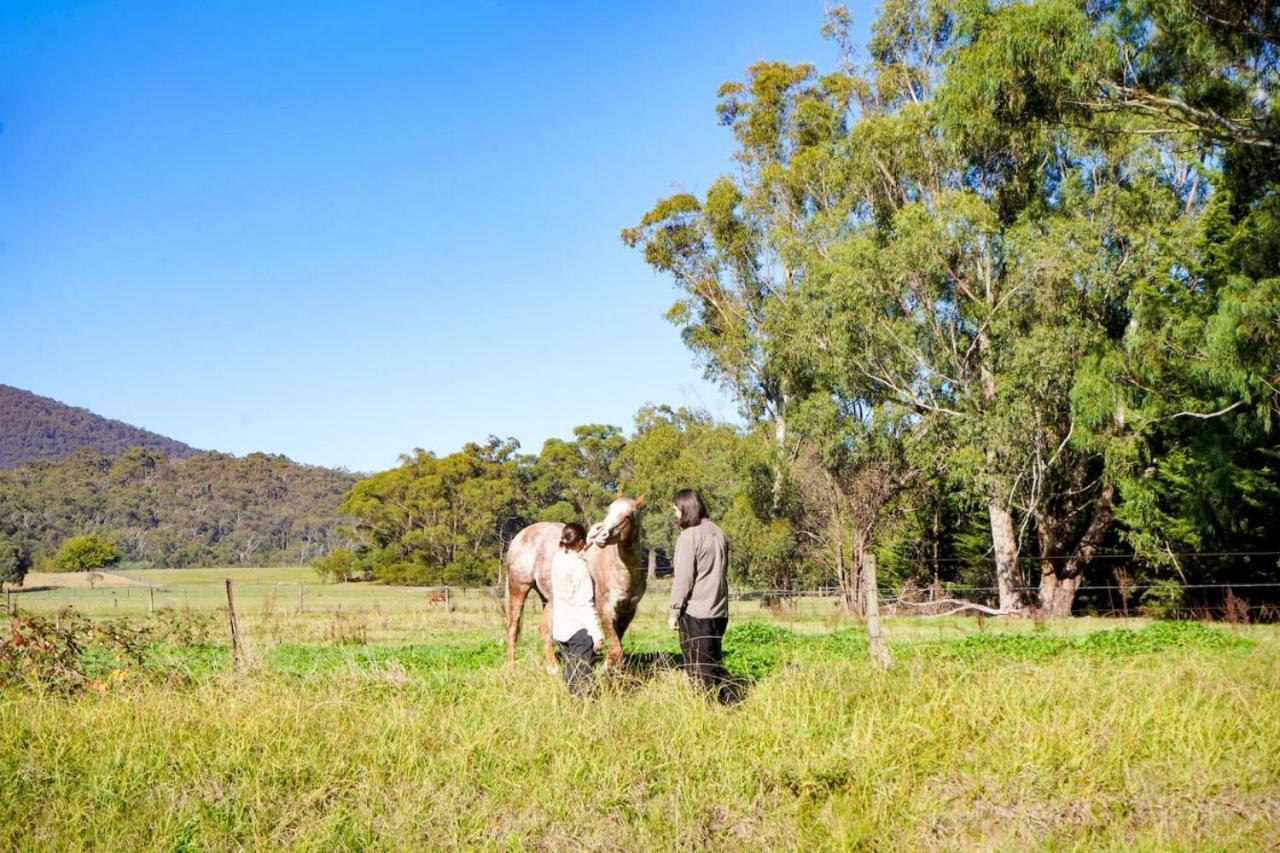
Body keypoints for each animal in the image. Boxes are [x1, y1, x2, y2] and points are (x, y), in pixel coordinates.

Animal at [504, 491, 645, 671]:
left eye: (628, 515)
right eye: (609, 510)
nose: (601, 535)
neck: (620, 570)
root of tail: (520, 536)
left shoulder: (627, 612)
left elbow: (616, 648)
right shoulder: (604, 610)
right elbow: (616, 649)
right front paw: (605, 673)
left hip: (549, 599)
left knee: (545, 630)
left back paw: (553, 669)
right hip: (518, 587)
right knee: (513, 628)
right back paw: (512, 669)